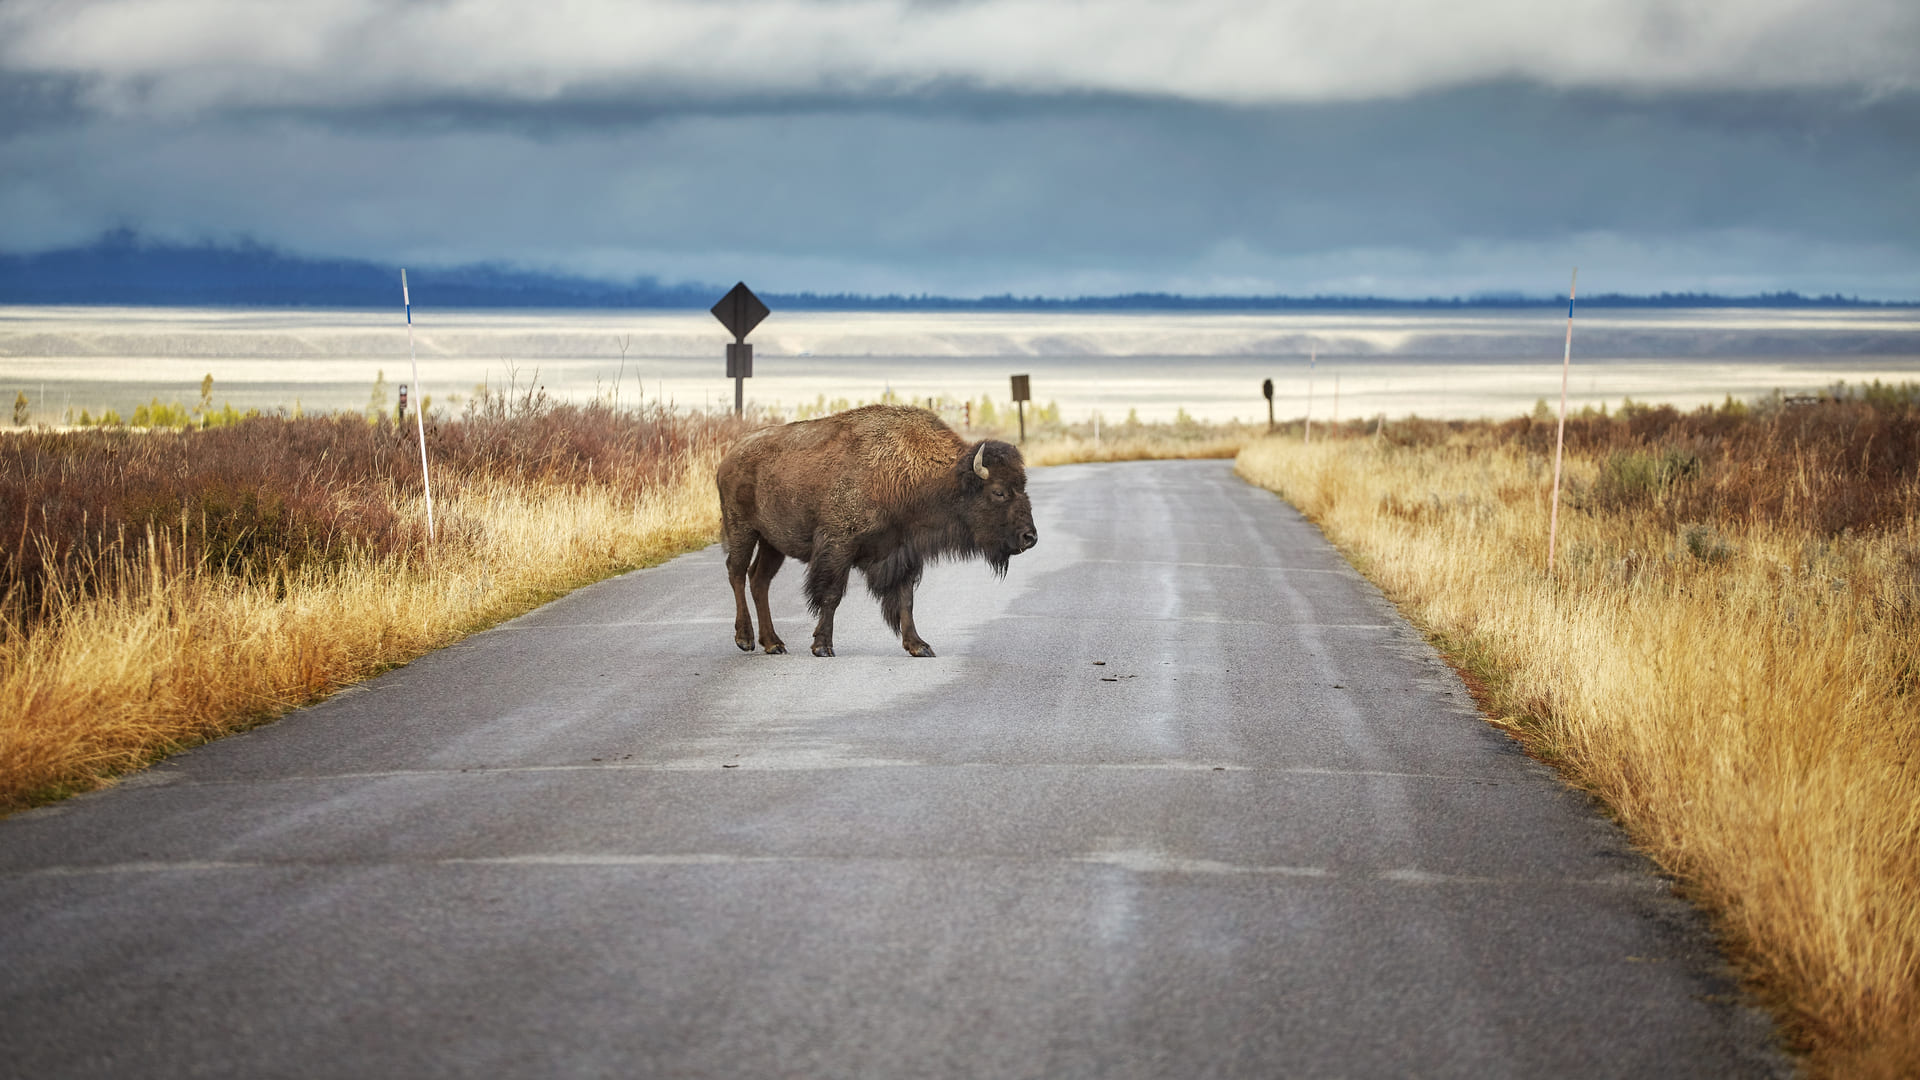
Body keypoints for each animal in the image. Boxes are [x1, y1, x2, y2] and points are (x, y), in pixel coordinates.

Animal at [714, 403, 1036, 657]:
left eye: (1022, 486)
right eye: (998, 492)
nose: (1030, 537)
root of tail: (730, 455)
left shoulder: (902, 553)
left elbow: (906, 600)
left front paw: (919, 646)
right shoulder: (838, 547)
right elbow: (831, 595)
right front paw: (823, 646)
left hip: (772, 543)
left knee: (759, 580)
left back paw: (773, 643)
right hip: (743, 530)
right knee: (736, 572)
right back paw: (745, 639)